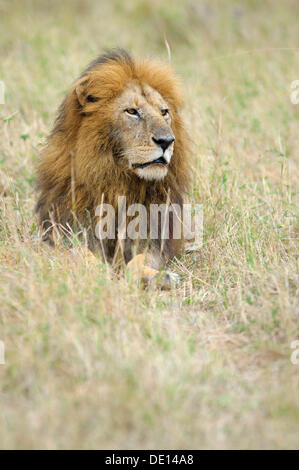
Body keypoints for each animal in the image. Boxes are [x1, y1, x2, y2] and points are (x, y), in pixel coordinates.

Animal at [35, 49, 192, 288]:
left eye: (164, 112)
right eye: (132, 111)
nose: (166, 141)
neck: (117, 179)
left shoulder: (154, 238)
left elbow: (138, 261)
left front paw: (162, 277)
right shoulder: (61, 232)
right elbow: (79, 253)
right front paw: (99, 273)